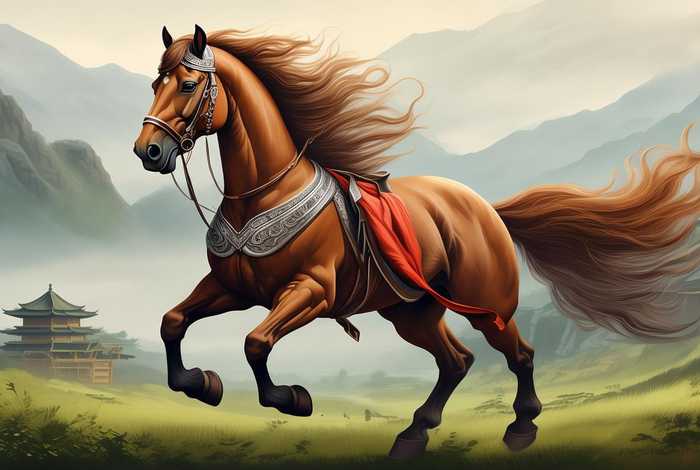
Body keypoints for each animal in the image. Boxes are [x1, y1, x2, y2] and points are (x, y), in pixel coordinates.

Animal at [133, 25, 700, 458]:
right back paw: (414, 432)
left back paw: (521, 427)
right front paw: (201, 383)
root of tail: (489, 210)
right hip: (413, 312)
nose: (148, 151)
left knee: (519, 354)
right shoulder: (233, 288)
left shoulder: (310, 293)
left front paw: (292, 397)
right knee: (457, 362)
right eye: (156, 83)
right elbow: (172, 321)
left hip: (487, 306)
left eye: (187, 85)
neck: (265, 192)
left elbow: (255, 343)